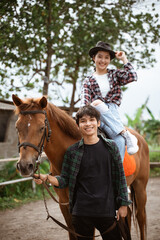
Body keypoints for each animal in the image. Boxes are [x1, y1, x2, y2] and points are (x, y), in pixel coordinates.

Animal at [12, 94, 150, 240]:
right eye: (17, 127)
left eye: (41, 128)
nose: (24, 166)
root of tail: (141, 138)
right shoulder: (65, 204)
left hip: (140, 187)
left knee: (140, 217)